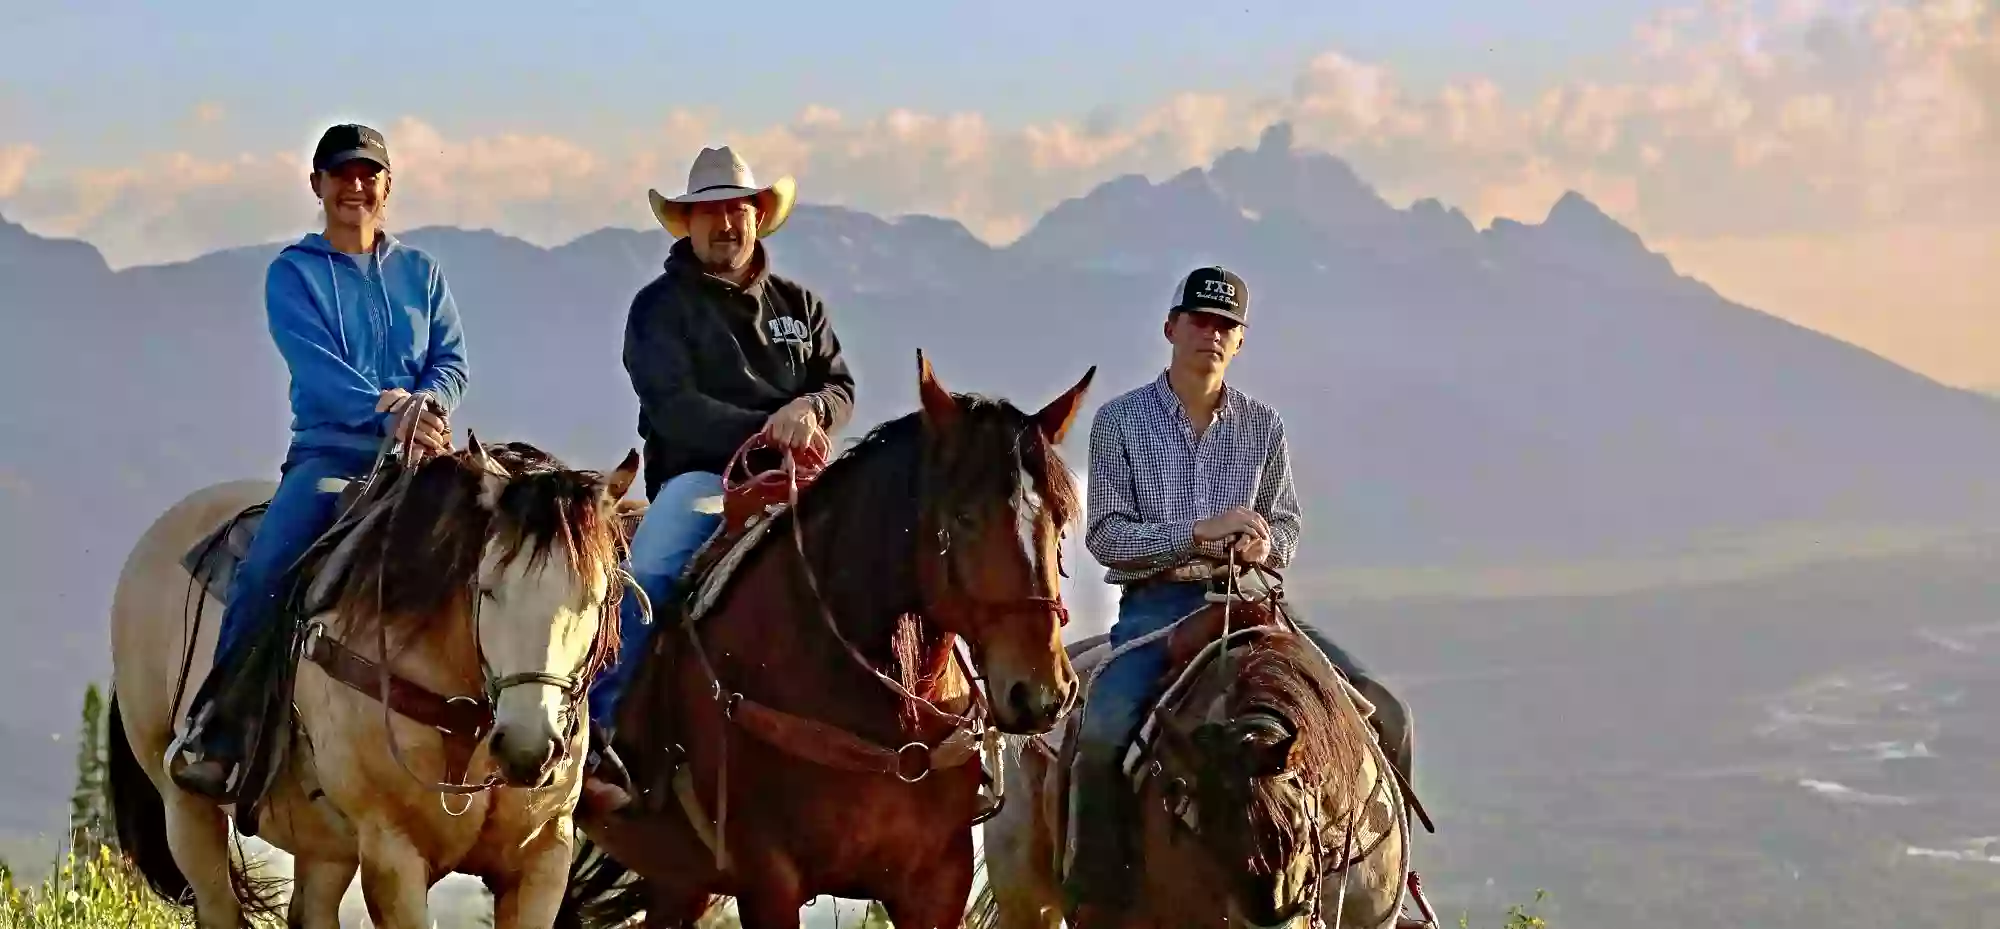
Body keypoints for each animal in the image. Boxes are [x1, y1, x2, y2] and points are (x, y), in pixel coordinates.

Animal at [105, 436, 636, 928]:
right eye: (486, 588)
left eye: (600, 597)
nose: (528, 748)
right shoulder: (391, 854)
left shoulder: (541, 860)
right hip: (183, 805)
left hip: (324, 845)